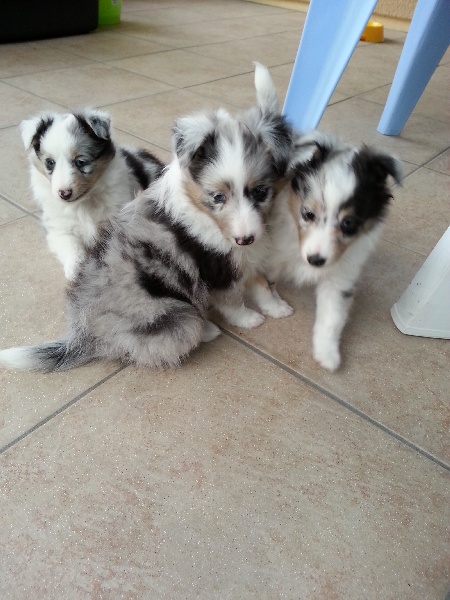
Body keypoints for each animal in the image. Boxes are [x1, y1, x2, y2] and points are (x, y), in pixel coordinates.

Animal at [21, 109, 164, 278]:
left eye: (80, 162)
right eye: (50, 163)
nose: (64, 193)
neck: (84, 203)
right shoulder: (58, 229)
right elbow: (71, 246)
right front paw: (75, 269)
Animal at [266, 131, 402, 370]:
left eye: (348, 223)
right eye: (308, 214)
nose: (315, 260)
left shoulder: (341, 275)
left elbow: (332, 316)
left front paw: (328, 355)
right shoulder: (273, 253)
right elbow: (266, 283)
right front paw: (275, 306)